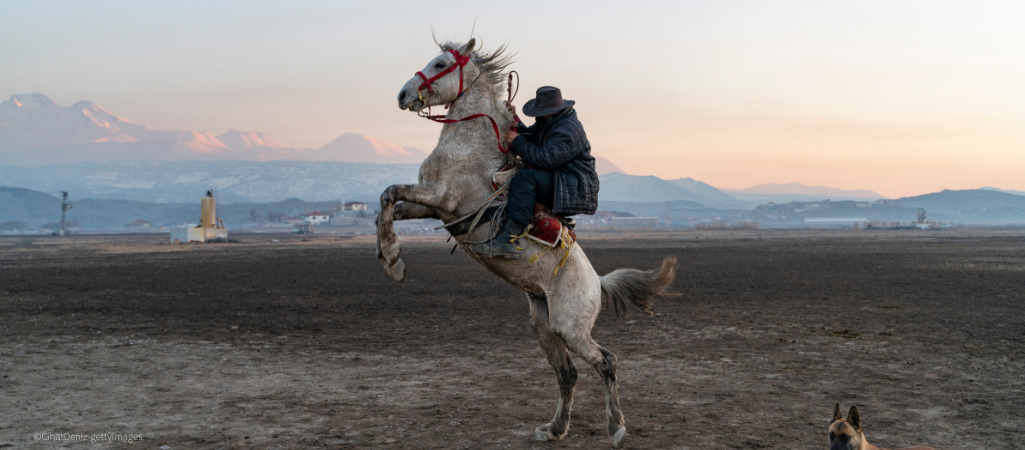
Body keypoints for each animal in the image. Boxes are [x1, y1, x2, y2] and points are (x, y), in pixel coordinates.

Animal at [379, 37, 680, 446]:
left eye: (440, 63)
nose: (403, 94)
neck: (471, 148)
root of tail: (597, 283)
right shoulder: (432, 208)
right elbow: (387, 204)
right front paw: (390, 257)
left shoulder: (441, 197)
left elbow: (389, 192)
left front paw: (393, 261)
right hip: (544, 325)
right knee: (568, 374)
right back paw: (555, 428)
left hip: (572, 328)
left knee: (606, 361)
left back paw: (616, 427)